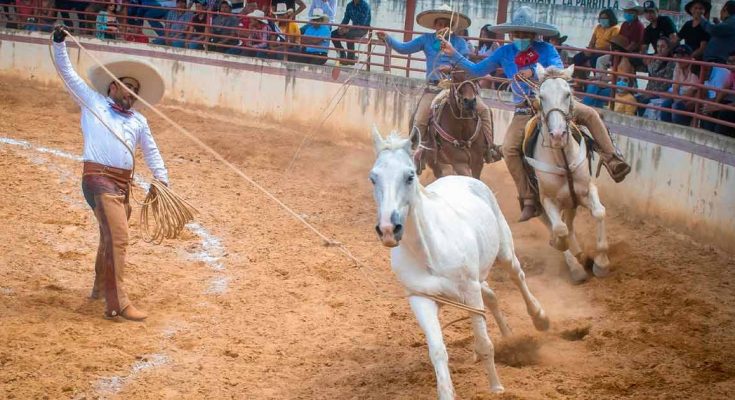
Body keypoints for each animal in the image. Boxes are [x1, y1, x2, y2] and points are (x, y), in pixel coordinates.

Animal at [370, 126, 548, 398]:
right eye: (373, 178)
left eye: (410, 176)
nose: (389, 229)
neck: (430, 251)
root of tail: (464, 178)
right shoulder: (421, 299)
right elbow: (437, 351)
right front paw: (446, 392)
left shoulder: (470, 290)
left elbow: (485, 343)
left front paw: (496, 387)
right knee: (492, 296)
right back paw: (508, 338)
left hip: (504, 253)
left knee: (517, 277)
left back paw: (539, 318)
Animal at [528, 64, 608, 282]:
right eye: (541, 96)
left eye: (567, 94)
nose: (557, 136)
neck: (563, 159)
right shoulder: (547, 199)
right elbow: (559, 229)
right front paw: (562, 247)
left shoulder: (587, 190)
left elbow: (599, 212)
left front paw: (601, 263)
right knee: (558, 226)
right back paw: (575, 265)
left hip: (572, 203)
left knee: (570, 225)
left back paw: (580, 254)